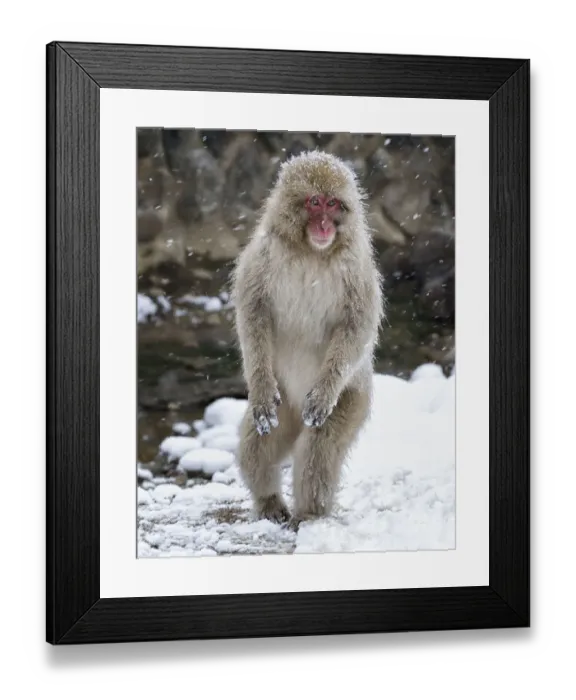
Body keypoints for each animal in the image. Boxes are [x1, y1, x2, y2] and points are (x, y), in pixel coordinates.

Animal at [230, 151, 384, 529]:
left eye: (333, 204)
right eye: (314, 202)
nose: (325, 225)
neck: (312, 252)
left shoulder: (357, 267)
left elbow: (356, 326)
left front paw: (323, 394)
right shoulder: (262, 256)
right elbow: (253, 315)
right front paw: (258, 385)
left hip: (353, 398)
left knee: (319, 447)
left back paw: (311, 513)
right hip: (283, 400)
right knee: (259, 442)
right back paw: (269, 500)